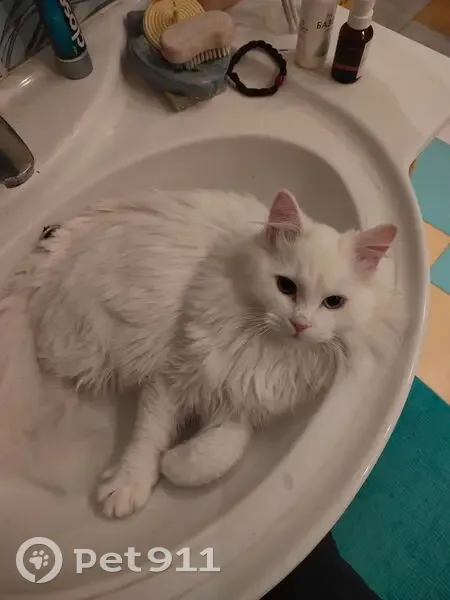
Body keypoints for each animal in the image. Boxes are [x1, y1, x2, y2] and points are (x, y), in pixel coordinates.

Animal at [9, 187, 402, 519]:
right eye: (286, 286)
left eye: (333, 302)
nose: (300, 324)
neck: (266, 347)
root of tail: (54, 246)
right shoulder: (171, 377)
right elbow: (146, 438)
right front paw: (127, 487)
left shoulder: (246, 400)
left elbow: (216, 456)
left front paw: (172, 463)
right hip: (84, 344)